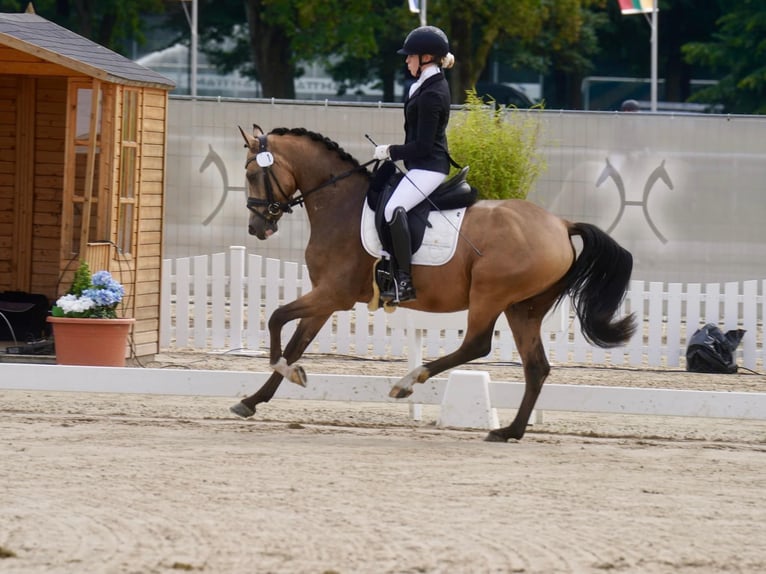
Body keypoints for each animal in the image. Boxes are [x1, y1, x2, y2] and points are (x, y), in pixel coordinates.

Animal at [231, 124, 640, 444]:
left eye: (251, 175)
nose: (257, 228)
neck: (340, 203)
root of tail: (561, 224)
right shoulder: (326, 299)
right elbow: (295, 342)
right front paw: (252, 400)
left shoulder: (334, 294)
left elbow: (276, 320)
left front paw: (287, 373)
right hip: (523, 308)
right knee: (536, 367)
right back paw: (509, 431)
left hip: (490, 294)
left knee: (477, 344)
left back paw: (409, 381)